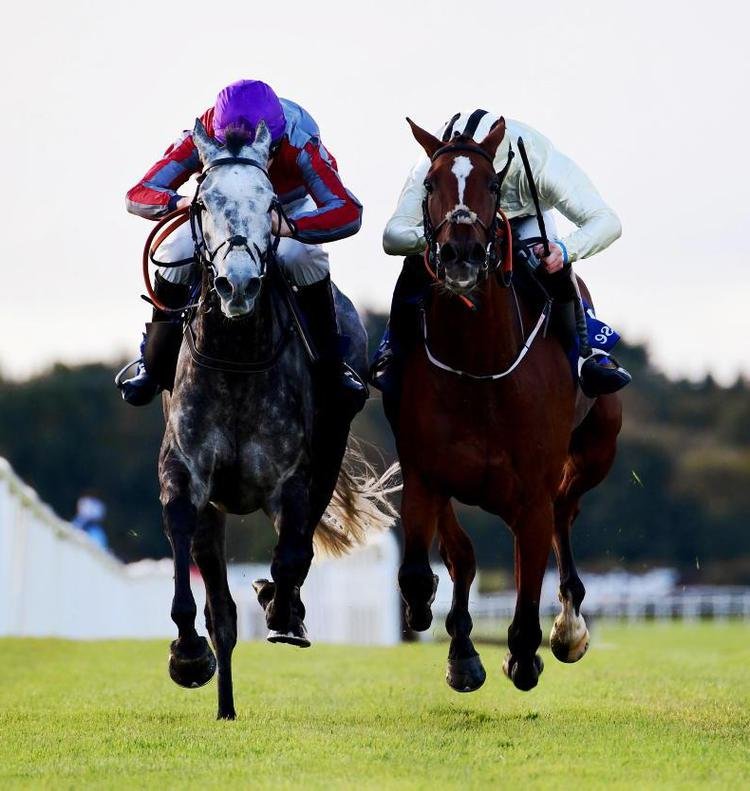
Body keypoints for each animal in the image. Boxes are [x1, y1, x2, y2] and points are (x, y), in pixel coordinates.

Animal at [156, 120, 396, 720]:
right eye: (203, 203)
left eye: (269, 203)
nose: (238, 283)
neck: (238, 357)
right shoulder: (186, 475)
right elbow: (186, 555)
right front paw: (187, 654)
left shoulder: (294, 478)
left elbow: (292, 553)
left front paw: (283, 610)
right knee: (222, 613)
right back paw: (224, 704)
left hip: (330, 449)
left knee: (301, 545)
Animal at [394, 117, 624, 692]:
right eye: (429, 184)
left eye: (492, 185)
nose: (459, 255)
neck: (480, 365)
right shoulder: (426, 472)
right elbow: (431, 567)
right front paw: (454, 645)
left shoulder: (533, 489)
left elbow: (523, 605)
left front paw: (527, 653)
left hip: (596, 451)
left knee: (565, 511)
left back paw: (568, 627)